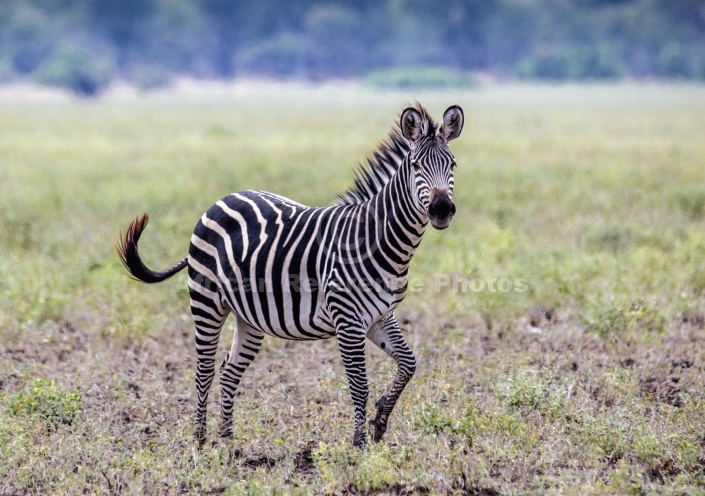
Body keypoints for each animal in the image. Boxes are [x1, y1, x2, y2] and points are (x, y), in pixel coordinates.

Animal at [117, 102, 462, 448]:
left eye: (453, 164)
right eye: (416, 166)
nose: (441, 209)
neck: (377, 239)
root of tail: (220, 200)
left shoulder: (380, 315)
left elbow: (409, 364)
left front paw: (379, 421)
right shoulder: (347, 320)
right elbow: (359, 385)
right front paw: (359, 444)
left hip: (250, 316)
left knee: (229, 371)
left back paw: (228, 443)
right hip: (207, 301)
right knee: (204, 370)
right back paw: (200, 441)